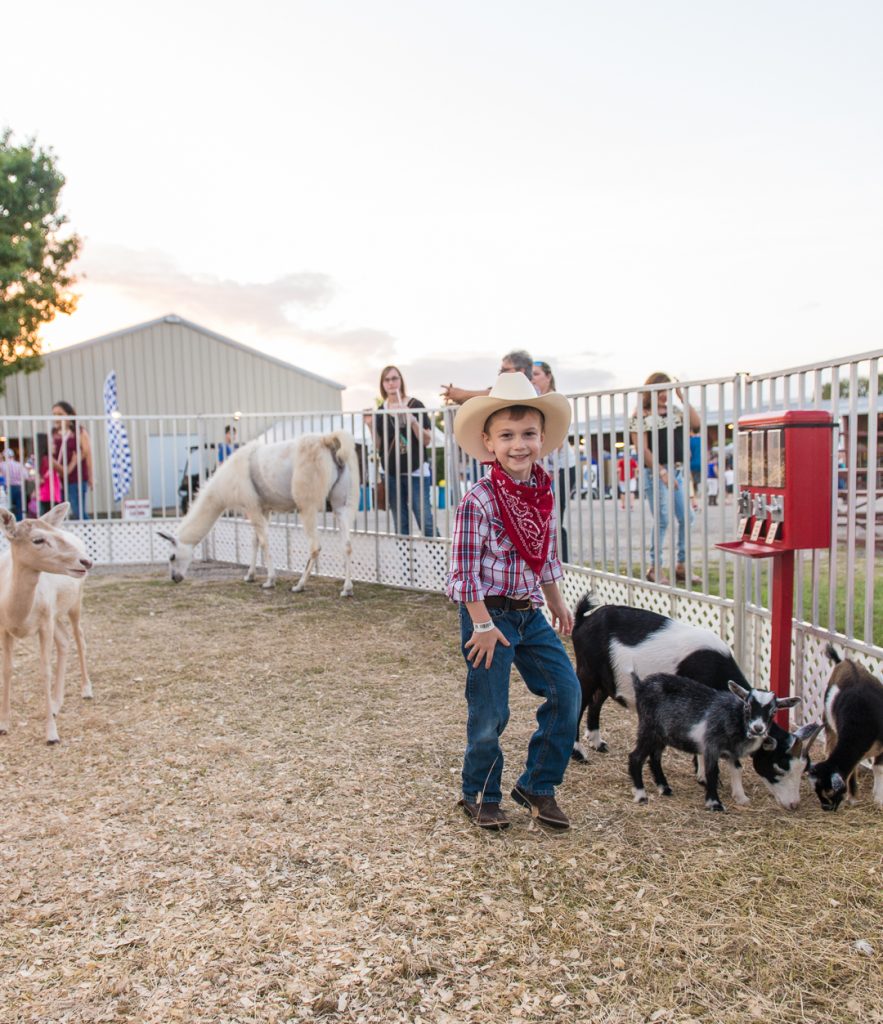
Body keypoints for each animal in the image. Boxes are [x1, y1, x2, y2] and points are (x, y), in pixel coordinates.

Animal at [0, 503, 94, 745]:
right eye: (38, 540)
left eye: (54, 534)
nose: (86, 561)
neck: (16, 611)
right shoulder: (4, 627)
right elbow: (7, 669)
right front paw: (4, 725)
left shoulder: (44, 623)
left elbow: (45, 670)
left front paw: (52, 735)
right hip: (56, 614)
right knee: (64, 640)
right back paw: (56, 704)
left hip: (75, 602)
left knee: (79, 638)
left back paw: (86, 690)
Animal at [160, 428, 360, 598]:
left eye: (172, 557)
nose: (175, 578)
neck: (224, 484)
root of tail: (327, 440)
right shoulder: (264, 508)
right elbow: (254, 541)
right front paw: (250, 575)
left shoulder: (252, 506)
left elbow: (263, 542)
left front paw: (270, 581)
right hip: (341, 502)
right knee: (347, 544)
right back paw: (347, 589)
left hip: (307, 502)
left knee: (315, 546)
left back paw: (299, 585)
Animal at [631, 675, 803, 811]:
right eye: (747, 706)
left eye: (773, 712)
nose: (758, 728)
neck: (735, 718)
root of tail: (641, 686)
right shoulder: (711, 746)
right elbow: (711, 772)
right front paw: (714, 803)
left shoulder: (732, 752)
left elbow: (737, 769)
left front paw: (741, 797)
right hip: (648, 729)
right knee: (635, 757)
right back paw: (641, 795)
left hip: (661, 735)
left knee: (655, 757)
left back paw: (664, 788)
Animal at [807, 643, 883, 811]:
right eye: (816, 789)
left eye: (830, 791)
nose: (826, 807)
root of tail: (842, 661)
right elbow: (852, 770)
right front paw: (853, 798)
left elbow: (878, 768)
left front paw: (879, 800)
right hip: (829, 725)